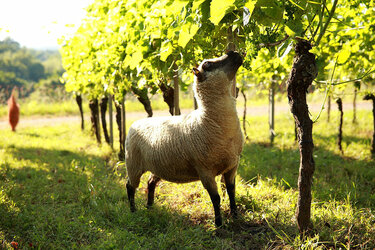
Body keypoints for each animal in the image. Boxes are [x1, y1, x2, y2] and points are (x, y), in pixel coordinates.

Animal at [125, 51, 245, 227]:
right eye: (208, 64)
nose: (233, 52)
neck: (209, 120)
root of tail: (136, 123)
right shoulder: (205, 170)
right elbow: (215, 198)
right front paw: (218, 223)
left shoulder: (232, 166)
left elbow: (231, 191)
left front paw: (235, 215)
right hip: (133, 164)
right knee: (130, 186)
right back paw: (133, 211)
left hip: (158, 166)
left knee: (150, 183)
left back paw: (150, 207)